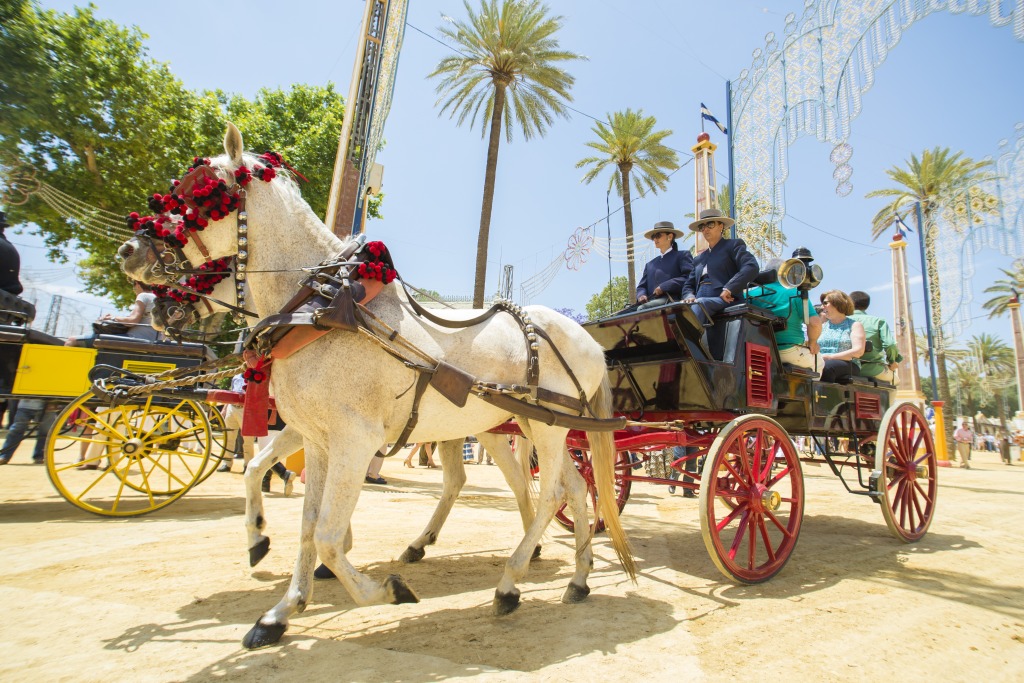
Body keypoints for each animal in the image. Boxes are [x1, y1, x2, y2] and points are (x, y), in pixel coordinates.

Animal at [149, 278, 544, 573]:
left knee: (519, 478)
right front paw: (267, 538)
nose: (160, 308)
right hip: (463, 428)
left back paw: (531, 543)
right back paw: (428, 543)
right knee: (468, 480)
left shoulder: (342, 429)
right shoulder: (311, 427)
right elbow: (262, 466)